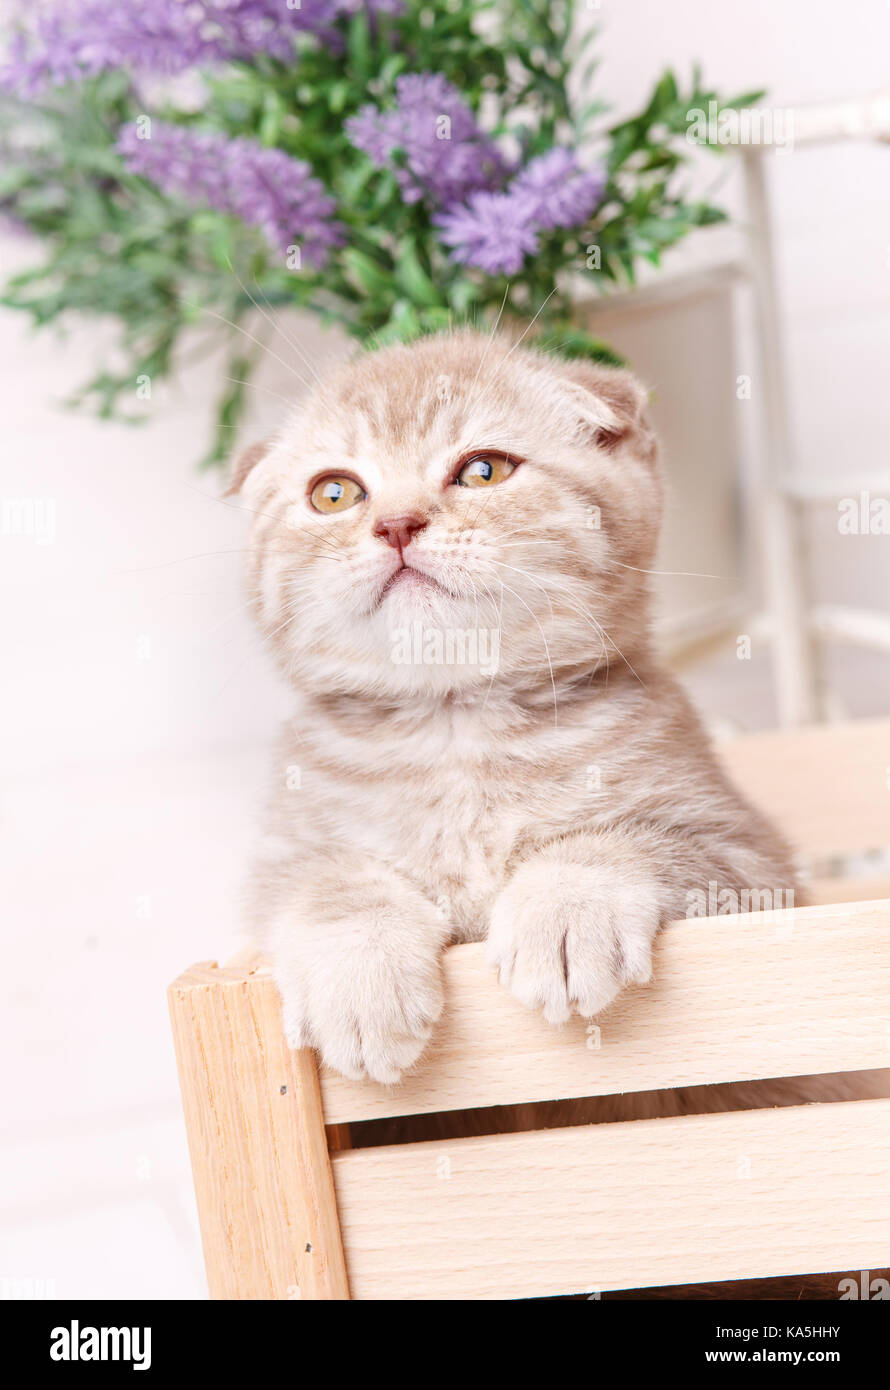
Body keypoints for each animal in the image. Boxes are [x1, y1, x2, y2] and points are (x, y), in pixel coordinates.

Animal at [228, 328, 801, 1084]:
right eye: (334, 492)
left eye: (483, 472)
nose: (396, 524)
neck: (455, 728)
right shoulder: (282, 859)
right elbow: (327, 884)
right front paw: (358, 976)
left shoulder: (749, 856)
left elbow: (622, 840)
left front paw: (567, 910)